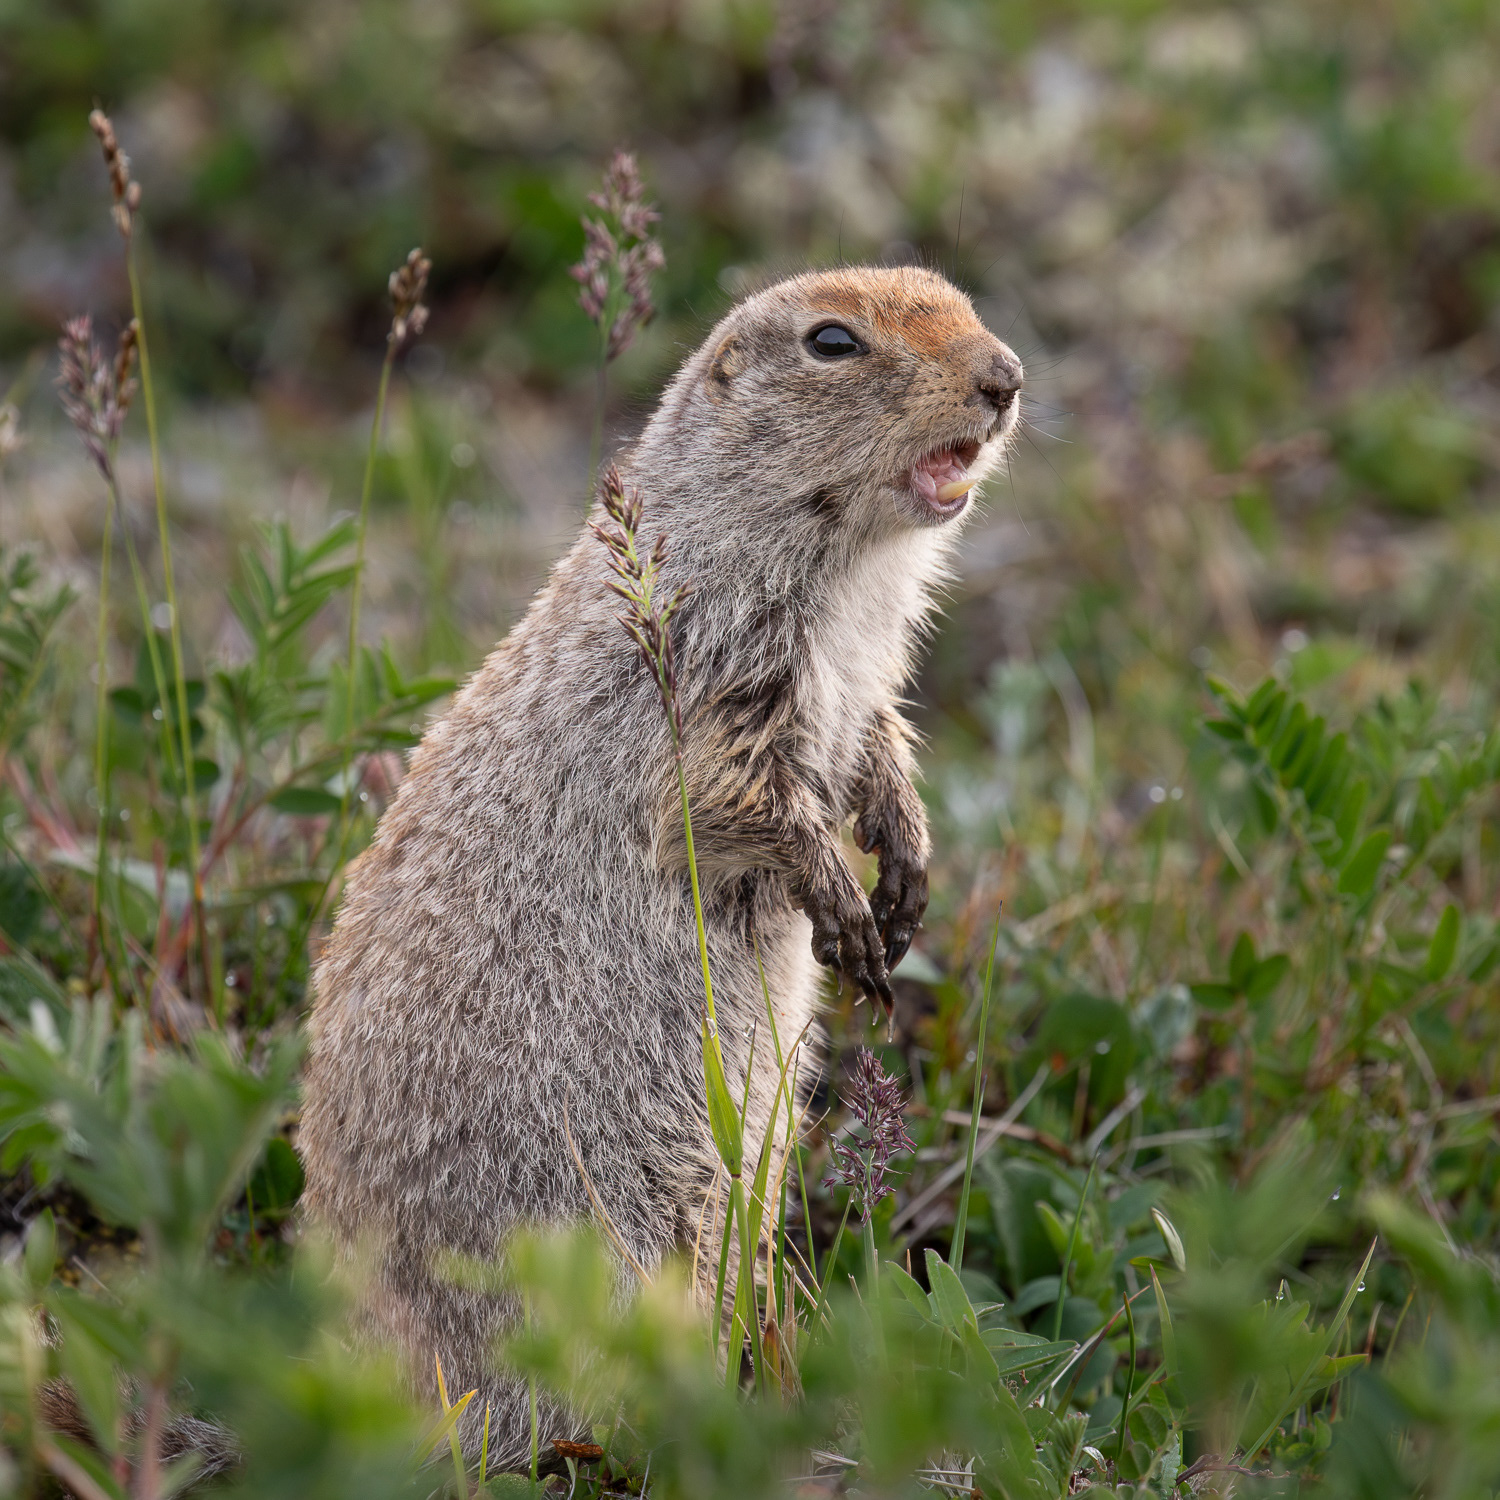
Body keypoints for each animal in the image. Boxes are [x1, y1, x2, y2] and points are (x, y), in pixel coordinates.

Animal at [298, 265, 1023, 1466]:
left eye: (962, 298)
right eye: (833, 343)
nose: (1006, 377)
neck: (850, 575)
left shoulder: (864, 671)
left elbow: (879, 735)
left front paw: (906, 859)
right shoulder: (706, 664)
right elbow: (728, 792)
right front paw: (844, 907)